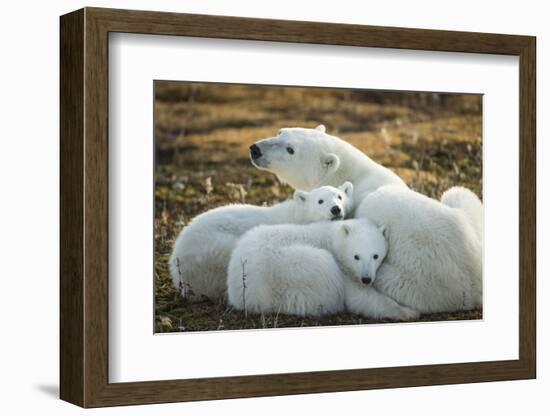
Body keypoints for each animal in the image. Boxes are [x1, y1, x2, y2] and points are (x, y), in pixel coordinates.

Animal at [226, 218, 420, 318]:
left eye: (376, 255)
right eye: (356, 256)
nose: (366, 279)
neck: (333, 238)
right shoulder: (342, 267)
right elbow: (360, 298)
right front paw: (409, 312)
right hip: (289, 269)